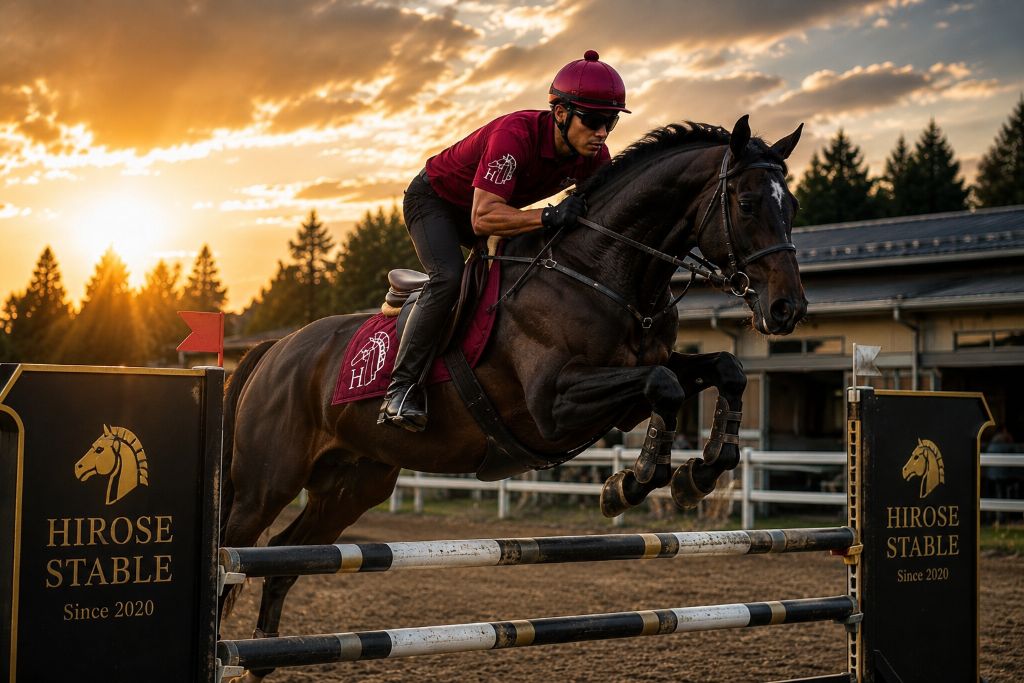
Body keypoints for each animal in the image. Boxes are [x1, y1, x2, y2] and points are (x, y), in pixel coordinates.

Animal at [218, 115, 807, 681]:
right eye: (747, 203)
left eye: (794, 207)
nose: (787, 308)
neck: (601, 272)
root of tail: (277, 349)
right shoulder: (555, 406)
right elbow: (663, 385)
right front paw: (631, 483)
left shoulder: (634, 385)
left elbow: (723, 371)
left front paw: (697, 474)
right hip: (267, 483)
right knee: (234, 551)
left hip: (353, 483)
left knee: (287, 555)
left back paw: (264, 656)